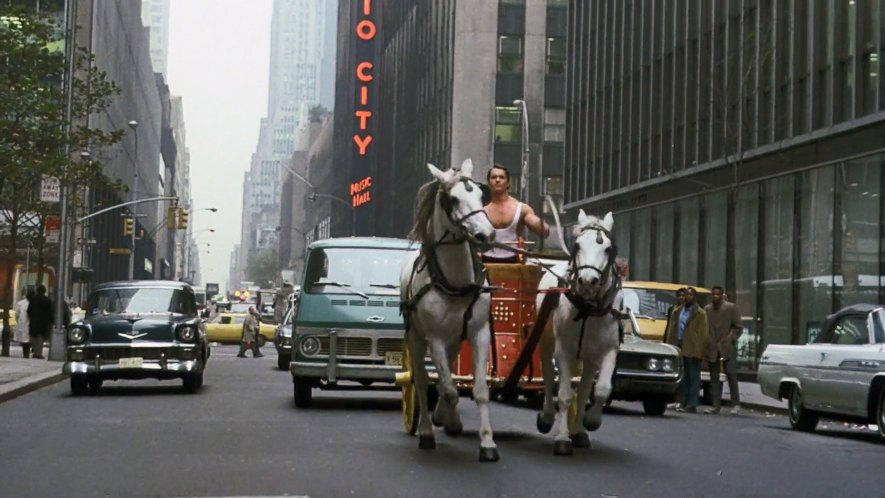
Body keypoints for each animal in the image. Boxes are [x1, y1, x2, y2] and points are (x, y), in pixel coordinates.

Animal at [398, 158, 498, 462]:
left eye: (481, 196)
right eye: (452, 199)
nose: (487, 234)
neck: (455, 282)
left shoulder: (479, 334)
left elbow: (479, 390)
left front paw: (487, 443)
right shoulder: (435, 340)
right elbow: (449, 390)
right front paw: (450, 422)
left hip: (455, 340)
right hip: (417, 338)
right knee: (421, 381)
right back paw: (427, 431)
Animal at [532, 210, 620, 456]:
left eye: (608, 248)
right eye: (578, 245)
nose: (588, 281)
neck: (587, 309)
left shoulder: (608, 350)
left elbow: (600, 390)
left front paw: (590, 422)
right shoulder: (564, 351)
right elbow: (563, 395)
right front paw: (562, 438)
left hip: (588, 357)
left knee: (582, 390)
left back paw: (579, 430)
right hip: (545, 343)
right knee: (548, 377)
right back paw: (547, 417)